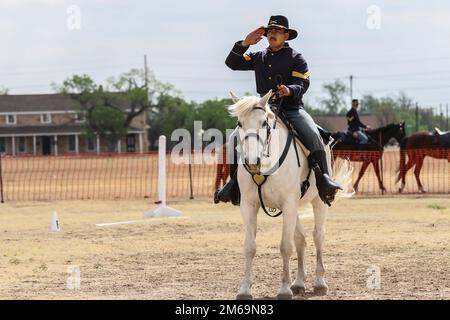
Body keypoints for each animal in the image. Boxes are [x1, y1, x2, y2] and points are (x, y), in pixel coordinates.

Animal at [229, 90, 356, 300]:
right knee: (301, 239)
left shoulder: (288, 204)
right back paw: (298, 283)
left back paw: (319, 283)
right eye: (240, 123)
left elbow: (285, 247)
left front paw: (283, 289)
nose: (252, 162)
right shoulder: (249, 205)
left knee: (317, 236)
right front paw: (245, 289)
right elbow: (250, 247)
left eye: (264, 123)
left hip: (317, 202)